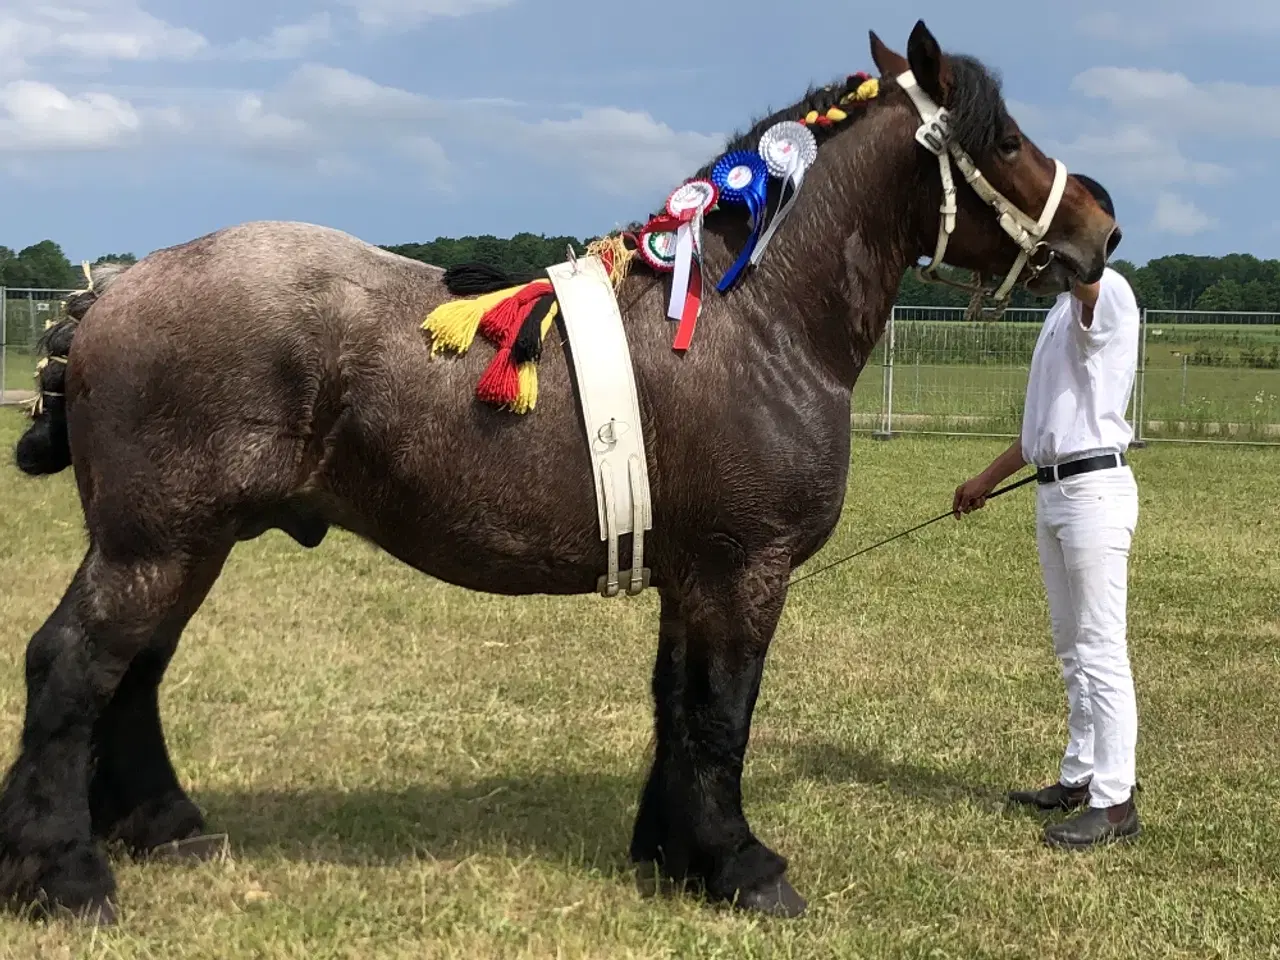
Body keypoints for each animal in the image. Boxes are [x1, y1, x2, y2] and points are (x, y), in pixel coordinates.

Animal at [0, 22, 1116, 926]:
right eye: (1004, 142)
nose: (1099, 228)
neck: (751, 317)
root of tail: (113, 292)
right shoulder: (742, 571)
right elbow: (722, 713)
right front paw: (742, 868)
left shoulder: (694, 575)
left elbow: (679, 706)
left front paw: (672, 855)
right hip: (156, 544)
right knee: (73, 666)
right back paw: (65, 876)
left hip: (186, 545)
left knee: (135, 673)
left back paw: (167, 826)